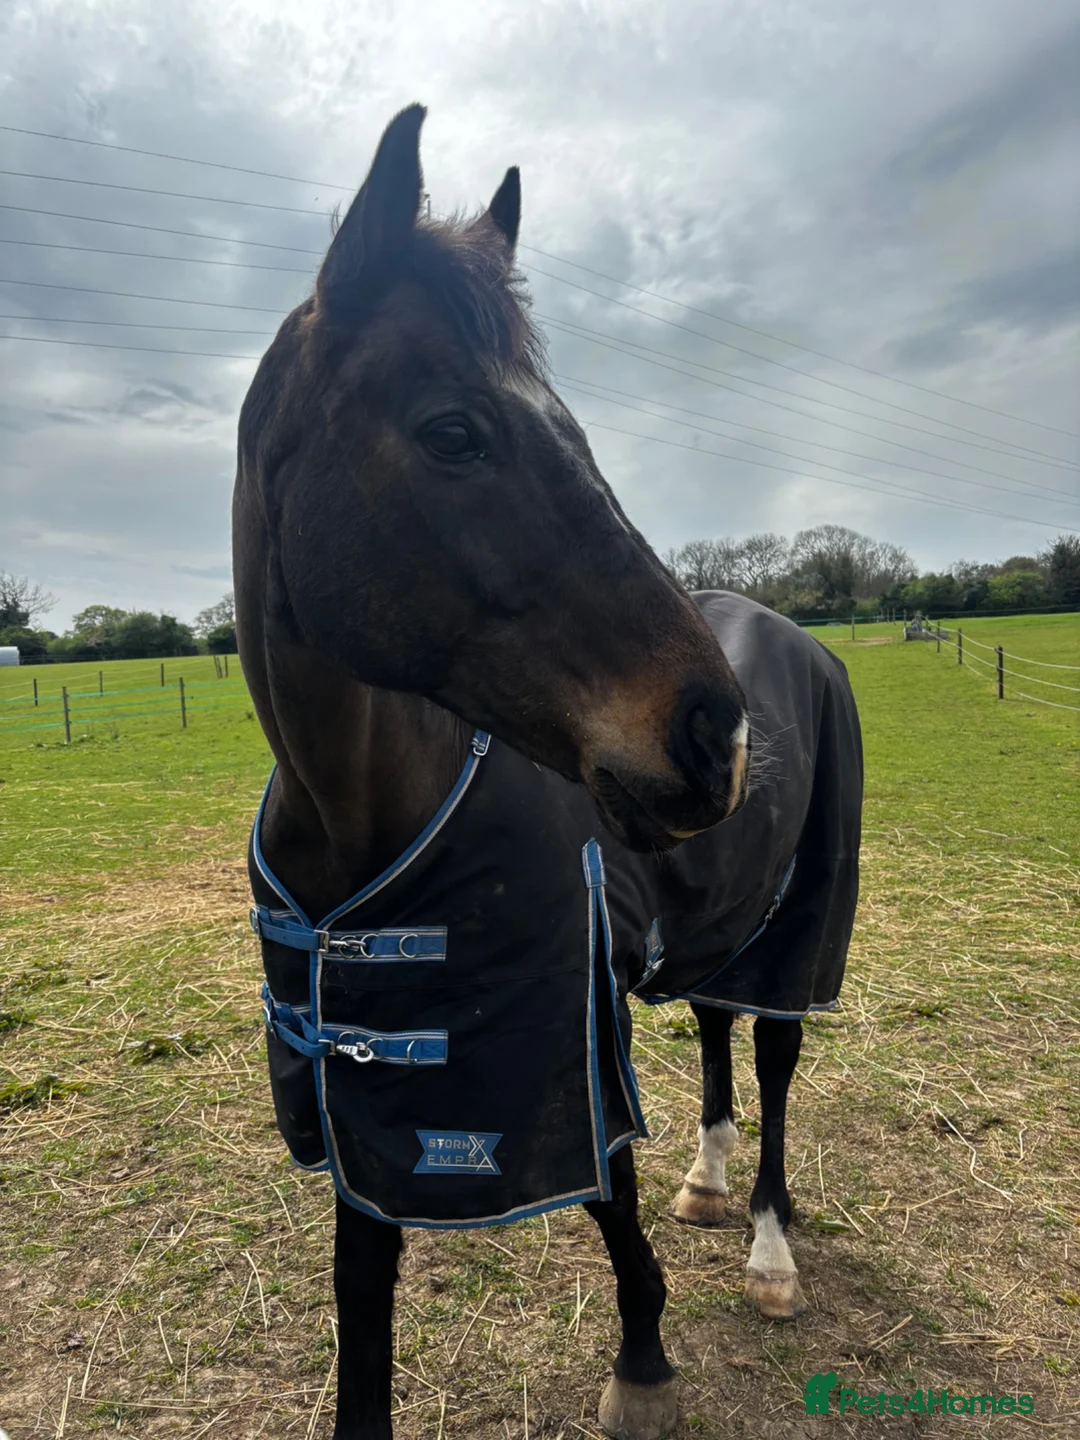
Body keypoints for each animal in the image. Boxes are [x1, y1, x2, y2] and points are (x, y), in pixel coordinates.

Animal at [233, 104, 863, 1440]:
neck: (360, 825)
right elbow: (362, 1307)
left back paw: (769, 1249)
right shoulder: (370, 1101)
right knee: (720, 1035)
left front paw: (643, 1365)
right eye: (453, 433)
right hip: (713, 926)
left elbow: (608, 1199)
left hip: (800, 932)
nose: (714, 736)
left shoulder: (565, 1045)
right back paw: (709, 1186)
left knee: (775, 1063)